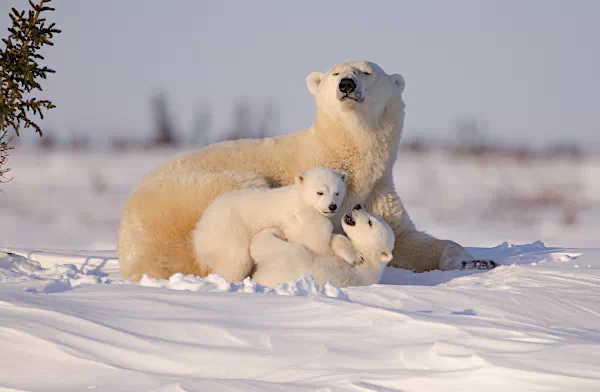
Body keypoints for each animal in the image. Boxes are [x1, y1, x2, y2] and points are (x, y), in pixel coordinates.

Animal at [190, 167, 344, 284]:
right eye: (320, 192)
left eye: (337, 192)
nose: (332, 206)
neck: (299, 200)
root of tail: (199, 228)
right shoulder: (293, 219)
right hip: (229, 230)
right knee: (236, 261)